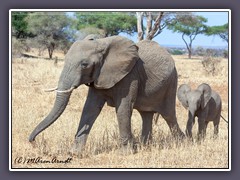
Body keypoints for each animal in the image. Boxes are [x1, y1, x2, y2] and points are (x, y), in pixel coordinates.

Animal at [29, 35, 185, 153]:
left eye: (84, 65)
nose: (33, 141)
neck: (101, 43)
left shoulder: (129, 75)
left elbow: (123, 108)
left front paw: (126, 153)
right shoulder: (99, 76)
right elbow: (90, 108)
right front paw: (74, 153)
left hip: (171, 83)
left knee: (168, 115)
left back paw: (182, 142)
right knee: (146, 114)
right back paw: (145, 146)